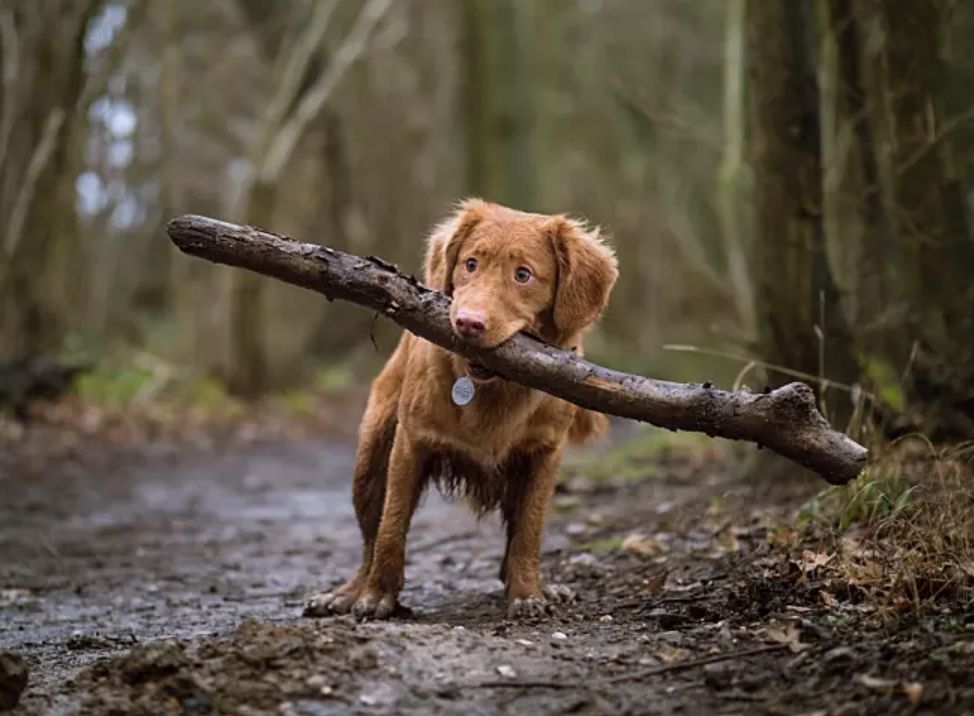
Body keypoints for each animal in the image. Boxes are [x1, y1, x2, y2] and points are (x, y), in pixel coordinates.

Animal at [304, 199, 616, 620]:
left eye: (523, 275)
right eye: (471, 264)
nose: (468, 323)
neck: (493, 390)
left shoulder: (544, 454)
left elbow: (528, 530)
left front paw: (528, 593)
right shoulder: (411, 443)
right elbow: (391, 525)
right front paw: (378, 596)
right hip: (370, 459)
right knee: (370, 536)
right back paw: (348, 592)